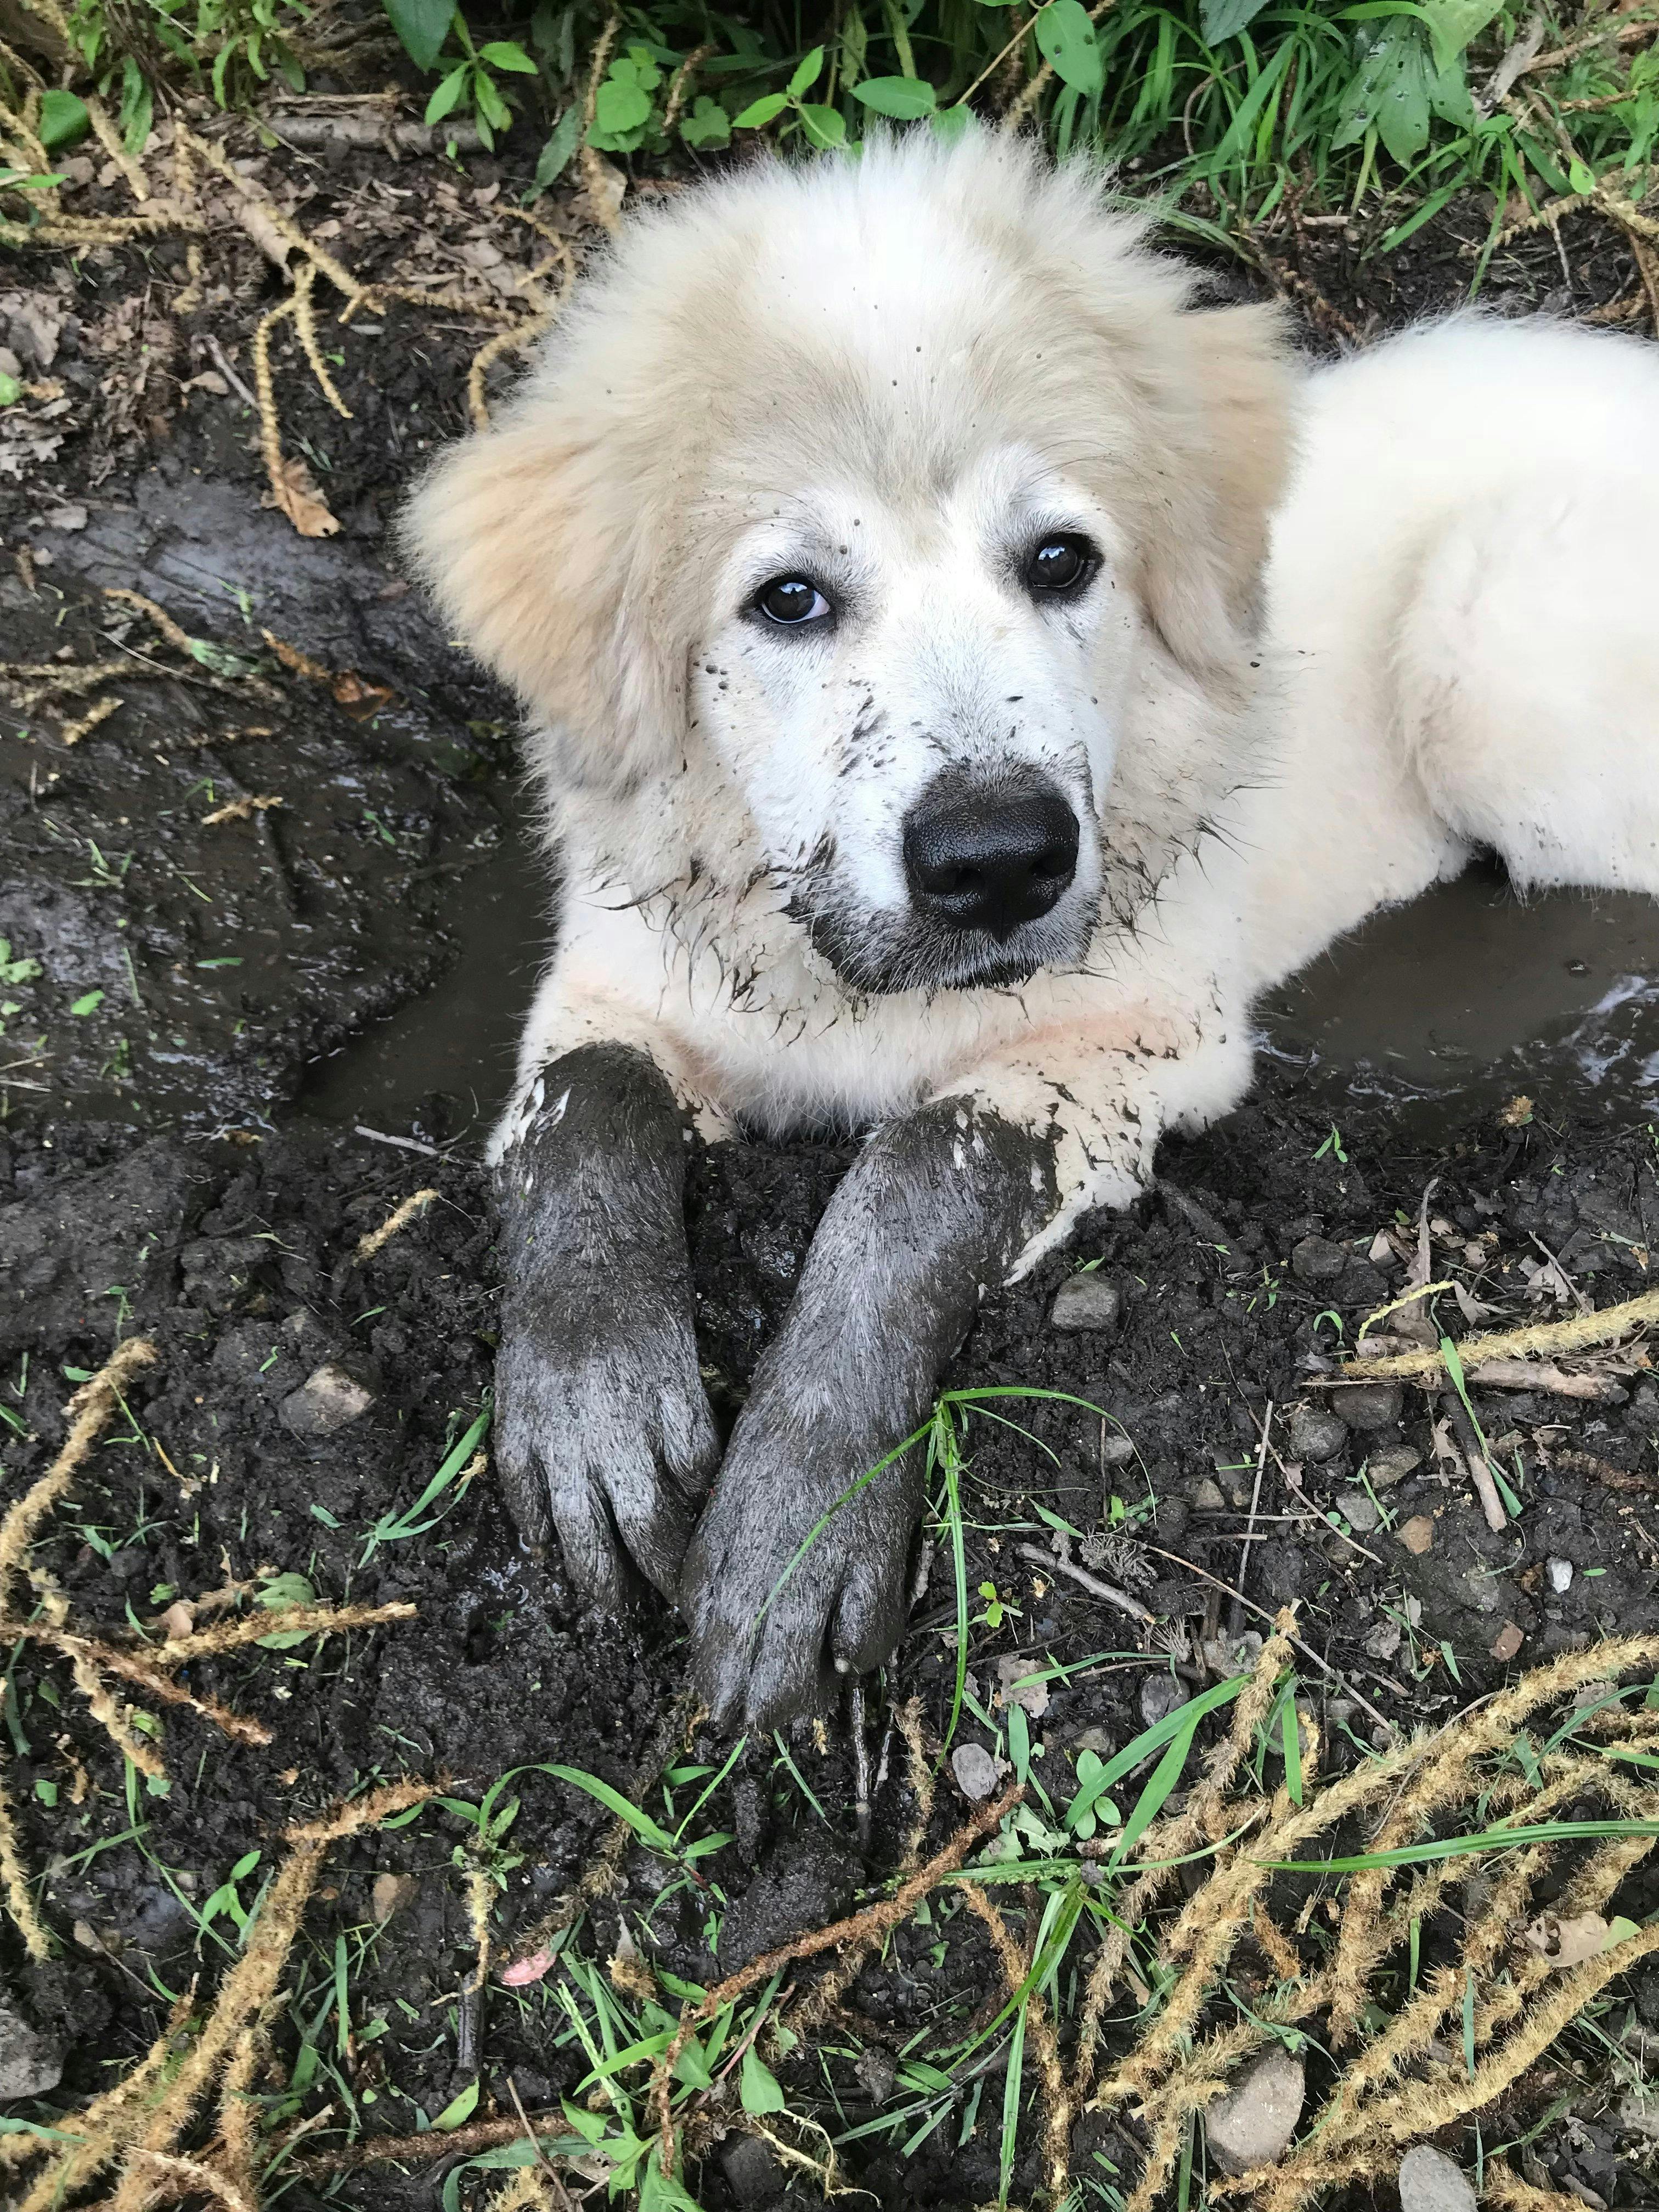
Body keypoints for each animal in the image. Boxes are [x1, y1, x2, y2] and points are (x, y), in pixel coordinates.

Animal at [409, 133, 1659, 1725]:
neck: (854, 984)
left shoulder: (1149, 1041)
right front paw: (593, 1398)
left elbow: (913, 1174)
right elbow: (580, 1119)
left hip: (1494, 652)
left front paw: (800, 1511)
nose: (1001, 861)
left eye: (1062, 562)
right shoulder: (618, 978)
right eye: (789, 599)